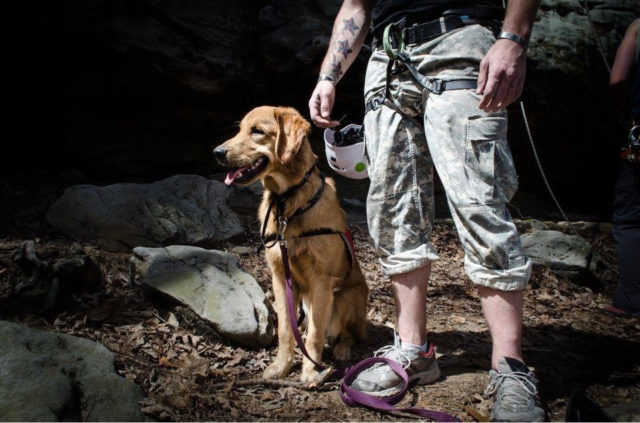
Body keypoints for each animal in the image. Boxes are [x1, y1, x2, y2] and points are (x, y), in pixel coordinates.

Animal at [214, 107, 368, 388]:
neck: (287, 202)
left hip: (346, 297)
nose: (217, 152)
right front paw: (281, 366)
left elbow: (315, 334)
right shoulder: (280, 277)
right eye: (240, 129)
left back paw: (342, 349)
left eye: (257, 131)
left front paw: (311, 372)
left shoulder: (321, 280)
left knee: (348, 333)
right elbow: (287, 330)